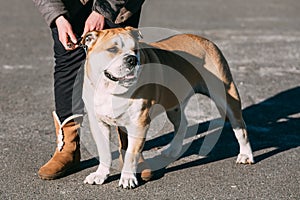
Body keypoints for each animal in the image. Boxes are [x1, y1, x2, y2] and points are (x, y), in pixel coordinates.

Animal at [81, 27, 253, 189]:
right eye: (112, 49)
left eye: (136, 50)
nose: (132, 59)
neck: (110, 89)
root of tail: (205, 40)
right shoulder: (99, 124)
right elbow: (104, 152)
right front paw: (100, 174)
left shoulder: (139, 123)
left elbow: (131, 153)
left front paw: (128, 177)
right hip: (174, 106)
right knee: (182, 124)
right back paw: (172, 150)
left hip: (226, 95)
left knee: (240, 127)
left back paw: (245, 155)